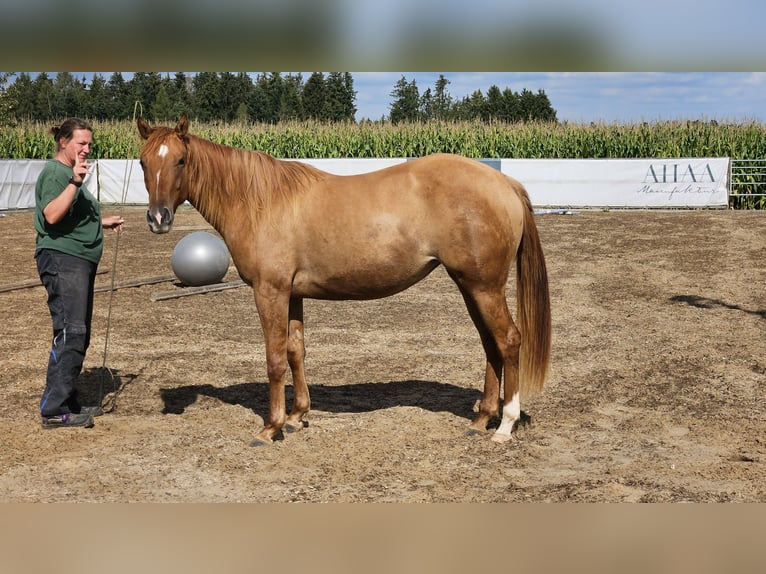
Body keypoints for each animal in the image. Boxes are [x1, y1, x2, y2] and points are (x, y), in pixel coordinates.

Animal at [138, 115, 552, 448]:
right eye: (143, 161)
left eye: (180, 160)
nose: (158, 219)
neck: (260, 201)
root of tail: (503, 182)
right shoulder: (292, 294)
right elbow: (296, 351)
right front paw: (297, 416)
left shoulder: (269, 291)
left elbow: (274, 358)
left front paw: (271, 427)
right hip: (471, 285)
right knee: (490, 344)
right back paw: (482, 418)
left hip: (484, 286)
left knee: (508, 340)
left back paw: (506, 424)